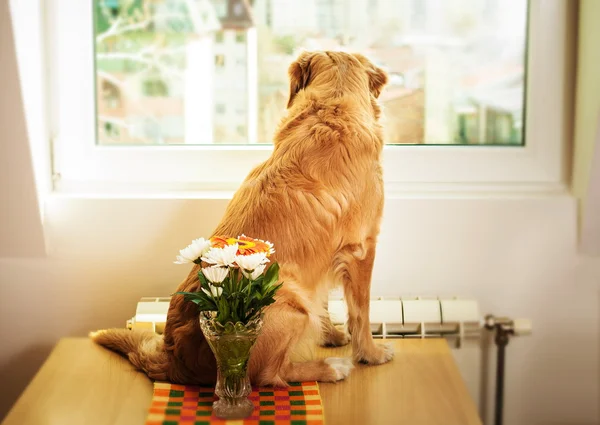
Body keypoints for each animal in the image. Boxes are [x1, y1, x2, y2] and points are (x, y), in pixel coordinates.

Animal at [89, 51, 392, 386]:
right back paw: (330, 368)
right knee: (270, 374)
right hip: (289, 303)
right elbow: (361, 312)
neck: (331, 108)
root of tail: (174, 358)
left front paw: (332, 336)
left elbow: (323, 301)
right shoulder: (362, 248)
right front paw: (370, 353)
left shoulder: (321, 255)